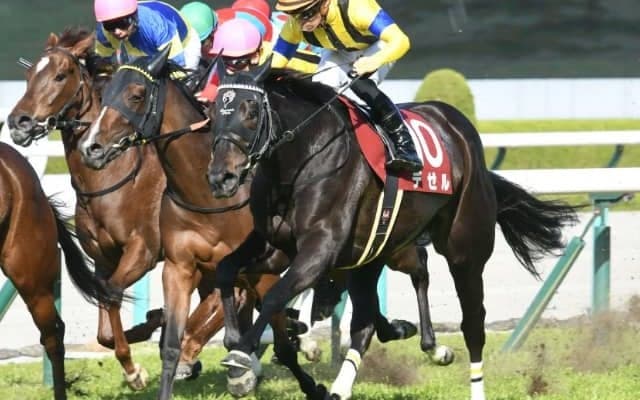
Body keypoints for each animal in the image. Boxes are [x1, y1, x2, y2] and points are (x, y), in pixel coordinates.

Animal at [76, 47, 454, 400]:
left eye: (136, 94)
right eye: (105, 94)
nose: (91, 147)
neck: (203, 193)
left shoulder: (263, 269)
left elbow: (277, 336)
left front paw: (266, 370)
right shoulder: (179, 266)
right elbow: (172, 343)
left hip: (387, 244)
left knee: (418, 266)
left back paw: (431, 345)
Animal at [204, 59, 579, 400]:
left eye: (251, 110)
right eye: (214, 111)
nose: (221, 177)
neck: (304, 160)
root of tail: (456, 124)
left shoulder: (319, 249)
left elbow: (275, 295)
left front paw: (241, 356)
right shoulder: (274, 245)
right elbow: (226, 271)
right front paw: (236, 341)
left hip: (465, 249)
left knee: (472, 323)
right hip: (376, 251)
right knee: (371, 316)